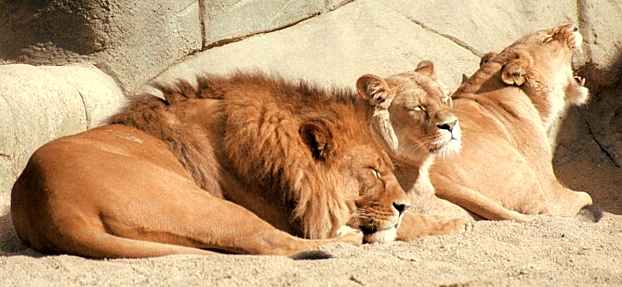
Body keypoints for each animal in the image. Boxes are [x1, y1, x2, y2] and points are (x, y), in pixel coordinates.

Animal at [8, 71, 458, 258]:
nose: (402, 205)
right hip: (202, 204)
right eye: (374, 171)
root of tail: (52, 205)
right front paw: (449, 223)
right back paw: (342, 243)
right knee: (273, 243)